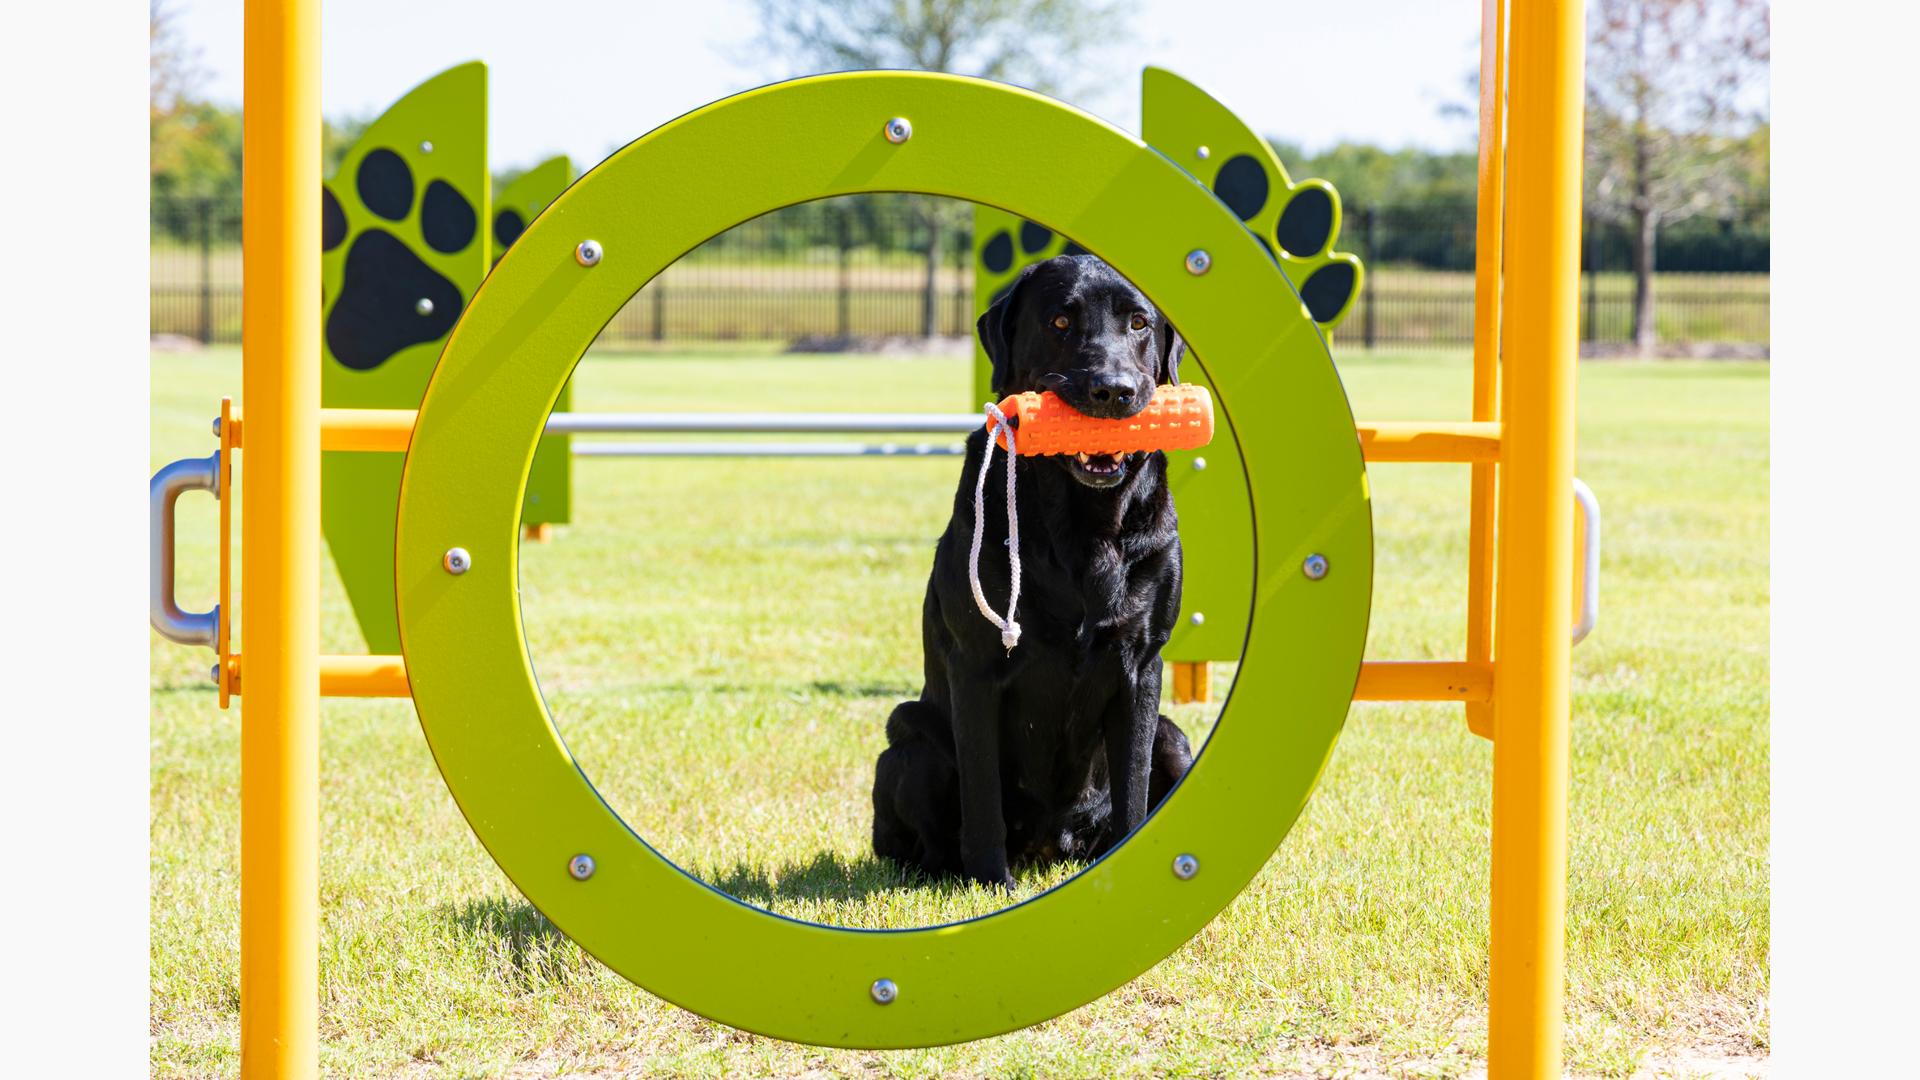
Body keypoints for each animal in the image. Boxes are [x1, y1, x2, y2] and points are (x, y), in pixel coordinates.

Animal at [879, 255, 1190, 887]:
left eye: (1139, 323)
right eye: (1060, 321)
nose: (1113, 389)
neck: (1084, 527)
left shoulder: (1142, 663)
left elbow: (1132, 788)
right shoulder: (975, 664)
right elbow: (982, 795)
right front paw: (988, 882)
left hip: (1175, 736)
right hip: (910, 736)